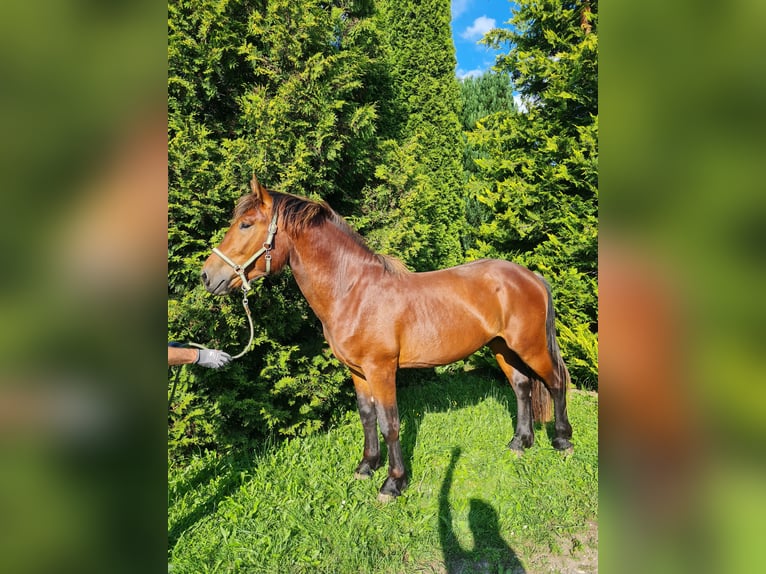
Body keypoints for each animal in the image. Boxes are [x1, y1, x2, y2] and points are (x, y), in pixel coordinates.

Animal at [201, 178, 572, 502]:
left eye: (246, 224)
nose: (207, 276)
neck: (353, 291)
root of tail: (529, 275)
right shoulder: (358, 371)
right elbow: (367, 416)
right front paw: (366, 466)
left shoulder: (381, 370)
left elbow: (389, 423)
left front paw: (393, 483)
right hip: (502, 348)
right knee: (522, 387)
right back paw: (520, 443)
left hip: (530, 346)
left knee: (555, 382)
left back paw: (562, 441)